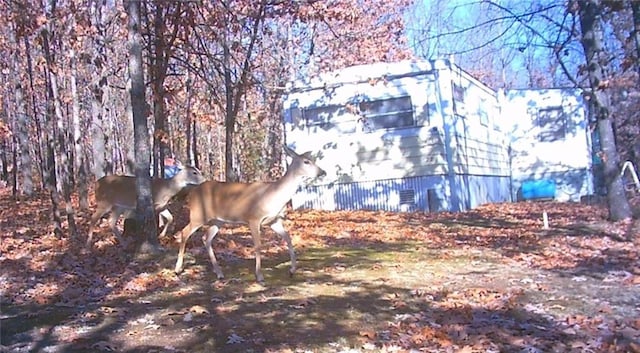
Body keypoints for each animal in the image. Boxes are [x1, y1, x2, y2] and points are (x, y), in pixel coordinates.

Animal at [174, 145, 324, 280]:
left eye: (313, 160)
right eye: (306, 161)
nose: (322, 172)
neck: (273, 195)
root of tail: (192, 192)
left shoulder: (274, 220)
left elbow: (288, 238)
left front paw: (292, 270)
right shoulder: (253, 218)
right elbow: (257, 245)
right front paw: (259, 275)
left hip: (218, 220)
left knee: (206, 238)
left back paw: (219, 273)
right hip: (198, 214)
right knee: (185, 232)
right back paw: (178, 269)